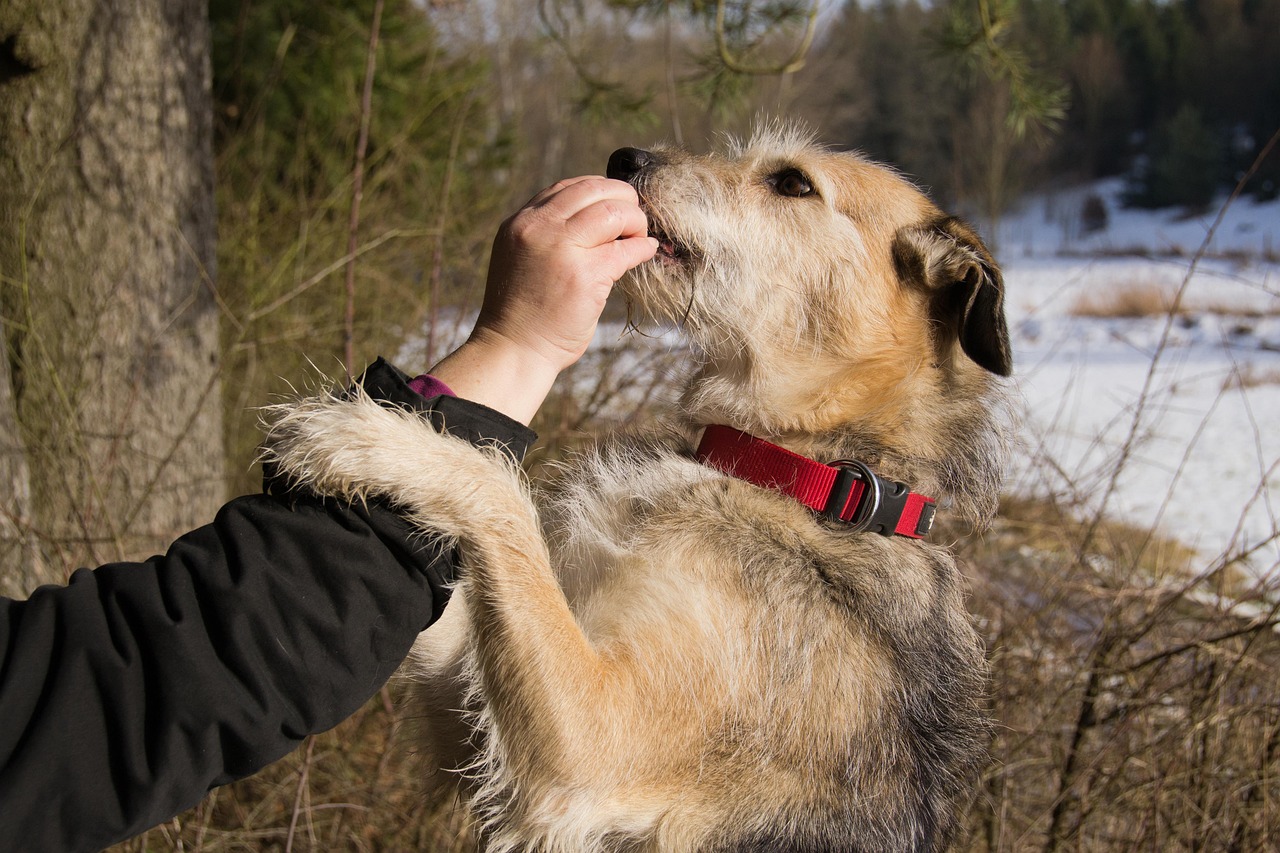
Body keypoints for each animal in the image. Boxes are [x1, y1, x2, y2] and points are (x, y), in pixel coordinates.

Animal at [267, 121, 1008, 850]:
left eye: (793, 182)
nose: (625, 158)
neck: (808, 475)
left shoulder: (594, 746)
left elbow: (499, 492)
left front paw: (365, 437)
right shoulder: (470, 720)